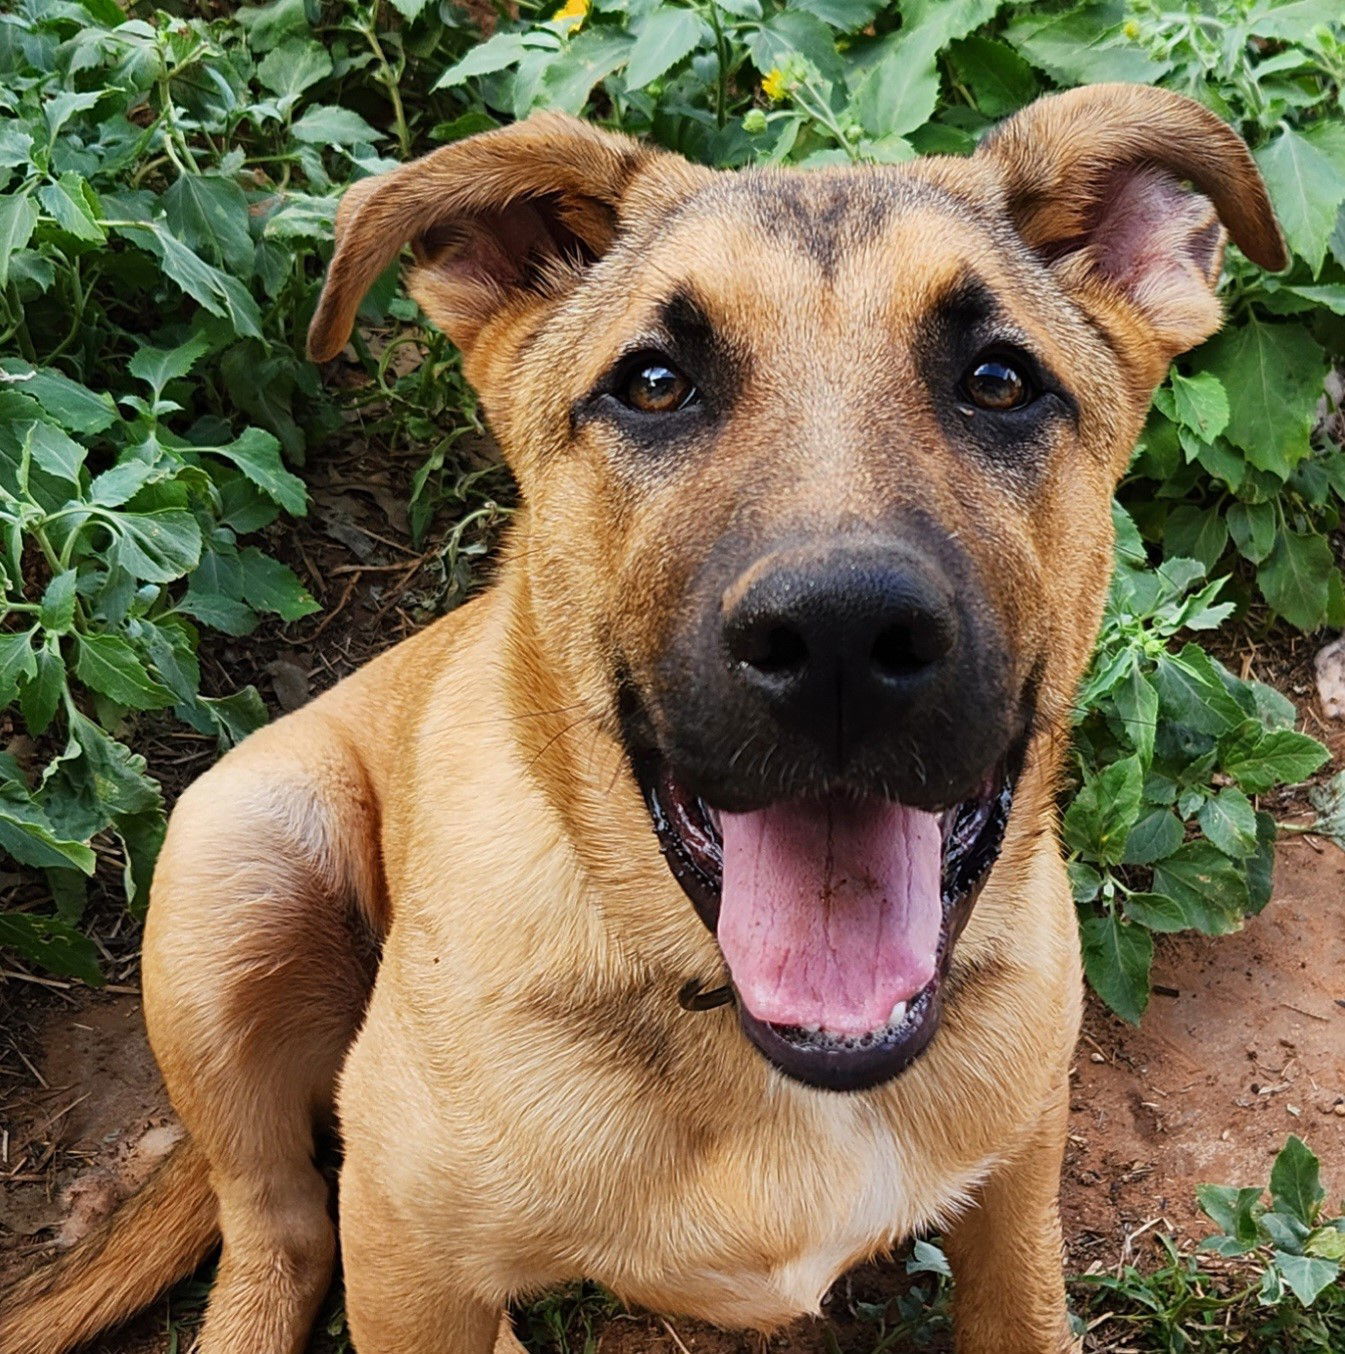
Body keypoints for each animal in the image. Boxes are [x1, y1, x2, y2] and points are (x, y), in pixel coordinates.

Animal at [0, 81, 1278, 1354]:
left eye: (999, 381)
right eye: (654, 383)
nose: (839, 639)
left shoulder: (1016, 1192)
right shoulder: (406, 1246)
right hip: (237, 869)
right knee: (280, 1225)